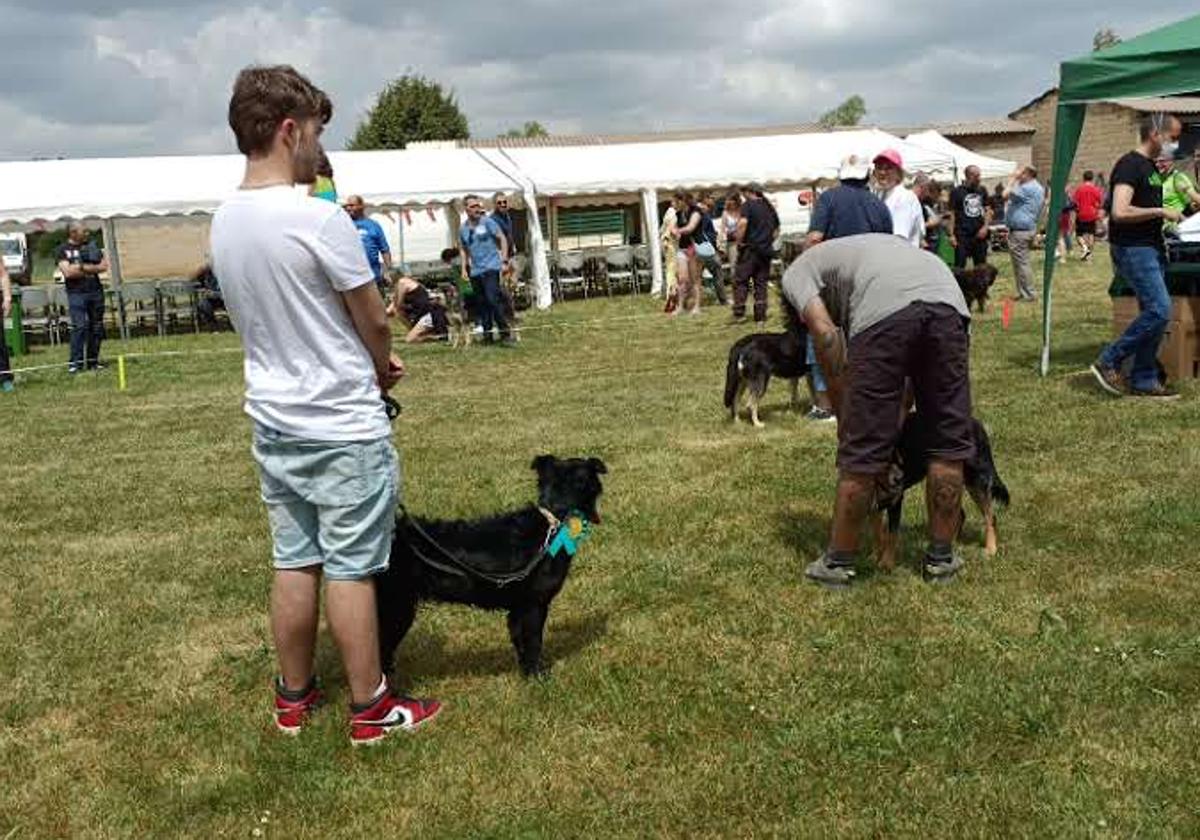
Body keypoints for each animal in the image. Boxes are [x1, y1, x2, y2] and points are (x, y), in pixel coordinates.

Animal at [376, 456, 604, 681]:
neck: (553, 525)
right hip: (397, 610)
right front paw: (538, 677)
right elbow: (533, 642)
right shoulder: (534, 604)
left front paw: (526, 674)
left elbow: (520, 642)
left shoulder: (517, 609)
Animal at [873, 412, 1012, 571]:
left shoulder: (895, 499)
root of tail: (975, 423)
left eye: (898, 457)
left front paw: (886, 563)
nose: (898, 479)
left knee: (990, 516)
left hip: (974, 479)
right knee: (960, 514)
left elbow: (892, 534)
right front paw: (876, 555)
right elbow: (878, 530)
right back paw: (950, 544)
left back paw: (990, 549)